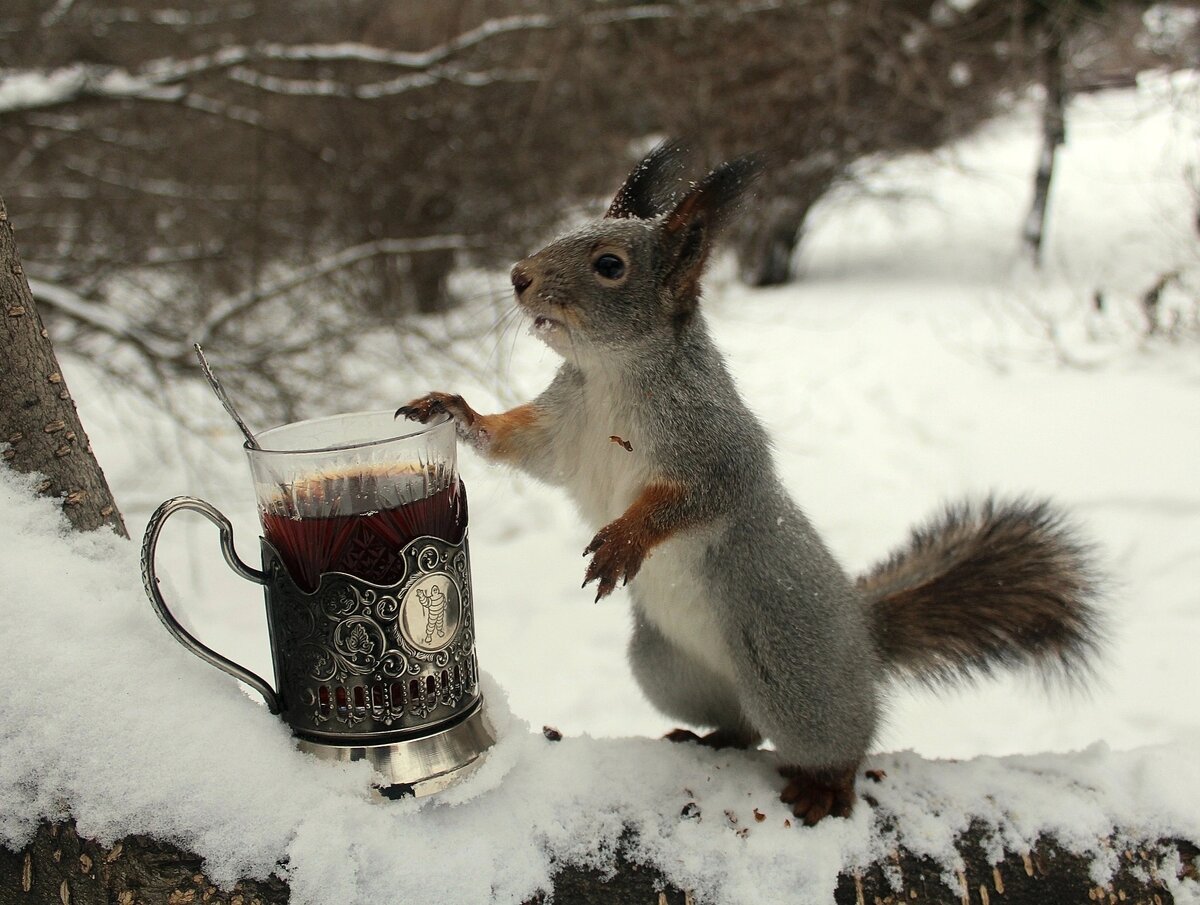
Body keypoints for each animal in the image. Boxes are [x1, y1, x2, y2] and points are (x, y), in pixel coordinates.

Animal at [400, 141, 1104, 825]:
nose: (519, 277)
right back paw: (709, 738)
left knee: (836, 739)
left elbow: (697, 497)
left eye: (610, 264)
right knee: (743, 726)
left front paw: (626, 539)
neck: (609, 378)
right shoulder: (561, 431)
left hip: (794, 677)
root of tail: (864, 635)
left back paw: (826, 787)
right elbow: (515, 445)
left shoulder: (717, 446)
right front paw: (452, 411)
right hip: (665, 668)